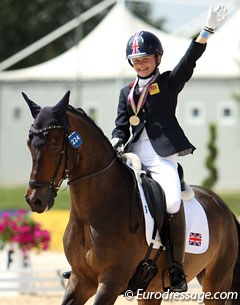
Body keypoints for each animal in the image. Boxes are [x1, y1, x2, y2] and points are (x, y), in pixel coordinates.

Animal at [23, 91, 240, 304]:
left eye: (54, 145)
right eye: (29, 144)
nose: (35, 200)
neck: (91, 214)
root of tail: (224, 207)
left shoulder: (112, 282)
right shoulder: (80, 280)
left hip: (216, 284)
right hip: (152, 290)